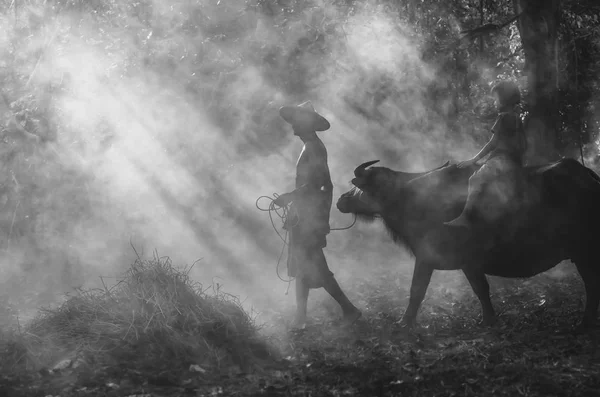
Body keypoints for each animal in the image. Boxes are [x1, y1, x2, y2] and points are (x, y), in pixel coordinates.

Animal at [338, 158, 600, 328]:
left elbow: (418, 290)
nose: (341, 200)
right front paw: (489, 319)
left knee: (591, 286)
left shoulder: (432, 258)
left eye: (359, 185)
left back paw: (585, 322)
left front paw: (404, 322)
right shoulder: (466, 264)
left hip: (585, 251)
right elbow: (481, 290)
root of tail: (588, 177)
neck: (413, 198)